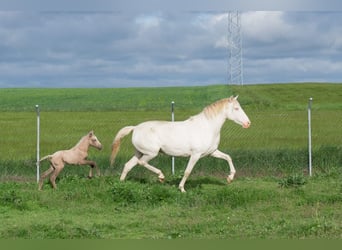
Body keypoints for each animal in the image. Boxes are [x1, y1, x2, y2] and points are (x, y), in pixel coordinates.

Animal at [111, 96, 250, 192]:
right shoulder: (195, 155)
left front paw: (230, 178)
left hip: (140, 152)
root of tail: (135, 128)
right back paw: (161, 176)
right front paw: (182, 189)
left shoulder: (212, 152)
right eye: (236, 108)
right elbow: (187, 171)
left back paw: (121, 184)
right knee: (142, 163)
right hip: (151, 153)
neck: (207, 127)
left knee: (128, 165)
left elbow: (228, 157)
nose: (248, 123)